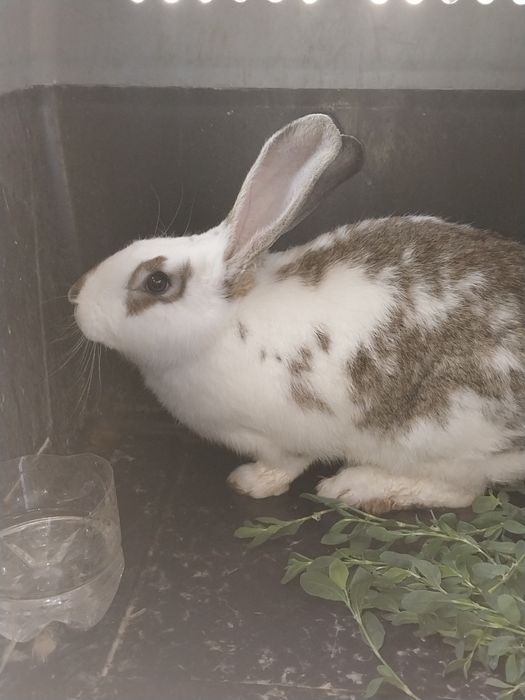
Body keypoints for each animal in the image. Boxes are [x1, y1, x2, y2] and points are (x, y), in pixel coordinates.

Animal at [69, 114, 525, 513]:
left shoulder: (275, 438)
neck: (223, 326)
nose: (75, 298)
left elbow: (285, 465)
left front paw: (250, 482)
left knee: (461, 490)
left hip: (440, 439)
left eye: (157, 282)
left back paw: (356, 486)